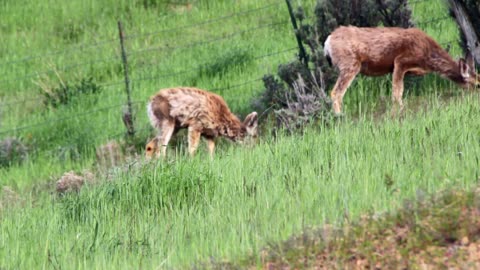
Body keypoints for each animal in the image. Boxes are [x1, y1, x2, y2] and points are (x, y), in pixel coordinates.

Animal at [322, 25, 480, 114]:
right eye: (478, 85)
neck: (427, 56)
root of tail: (328, 41)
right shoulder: (400, 61)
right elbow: (397, 94)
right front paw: (400, 113)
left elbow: (398, 92)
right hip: (350, 64)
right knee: (336, 92)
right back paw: (340, 117)